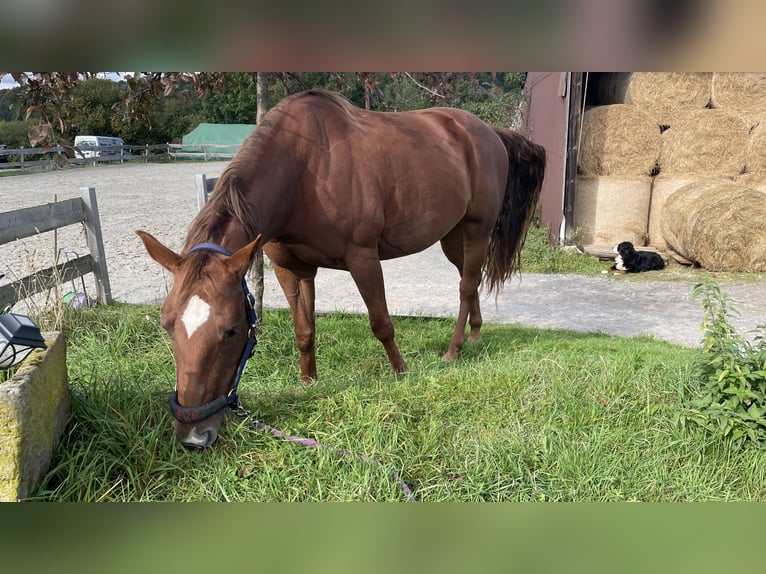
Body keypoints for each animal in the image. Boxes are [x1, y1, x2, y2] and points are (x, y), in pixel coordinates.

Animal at [137, 89, 546, 448]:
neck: (304, 171)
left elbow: (381, 323)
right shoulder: (292, 269)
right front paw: (308, 383)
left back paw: (454, 349)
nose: (193, 435)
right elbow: (304, 331)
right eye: (166, 324)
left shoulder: (362, 258)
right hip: (452, 235)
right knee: (469, 279)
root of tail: (487, 132)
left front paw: (401, 374)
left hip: (478, 229)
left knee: (465, 285)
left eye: (232, 331)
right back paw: (475, 335)